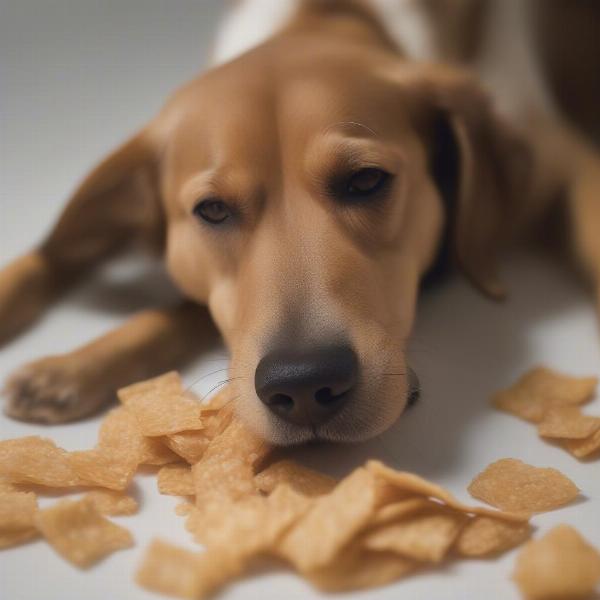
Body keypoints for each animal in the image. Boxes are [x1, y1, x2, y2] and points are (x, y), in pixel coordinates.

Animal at [1, 0, 600, 442]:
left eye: (366, 180)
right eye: (212, 210)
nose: (306, 385)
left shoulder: (566, 160)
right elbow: (53, 256)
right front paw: (70, 364)